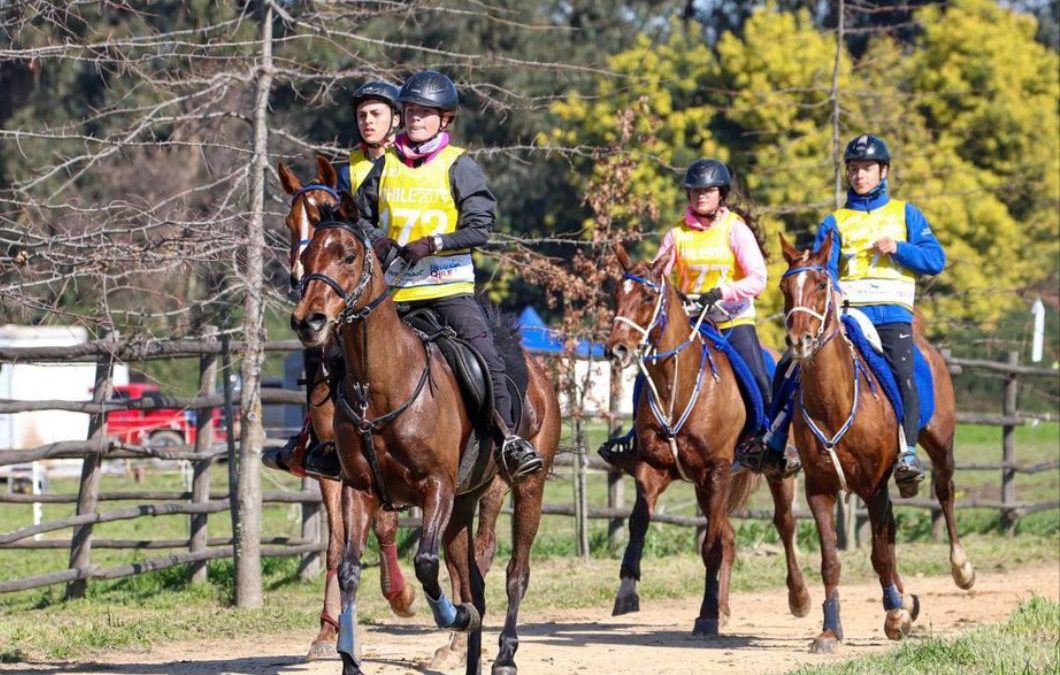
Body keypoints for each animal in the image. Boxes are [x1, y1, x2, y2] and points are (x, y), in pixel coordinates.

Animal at [290, 207, 559, 669]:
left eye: (347, 256)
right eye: (307, 258)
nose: (309, 321)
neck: (381, 387)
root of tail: (538, 373)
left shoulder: (436, 487)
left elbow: (427, 563)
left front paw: (450, 615)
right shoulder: (357, 489)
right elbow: (349, 568)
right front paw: (346, 655)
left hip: (526, 487)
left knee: (515, 572)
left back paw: (503, 654)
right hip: (465, 502)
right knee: (473, 579)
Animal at [610, 244, 805, 635]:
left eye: (648, 296)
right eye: (616, 294)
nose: (617, 348)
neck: (678, 385)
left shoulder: (715, 472)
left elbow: (711, 547)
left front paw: (707, 615)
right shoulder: (654, 468)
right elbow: (639, 523)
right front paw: (626, 591)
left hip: (774, 474)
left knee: (784, 525)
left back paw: (798, 598)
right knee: (729, 536)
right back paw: (726, 607)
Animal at [780, 233, 975, 652]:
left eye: (820, 284)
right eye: (785, 288)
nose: (799, 340)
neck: (834, 403)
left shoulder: (873, 487)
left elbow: (880, 555)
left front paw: (895, 615)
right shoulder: (819, 489)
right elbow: (831, 561)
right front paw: (830, 629)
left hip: (940, 445)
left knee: (945, 492)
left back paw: (959, 569)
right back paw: (905, 598)